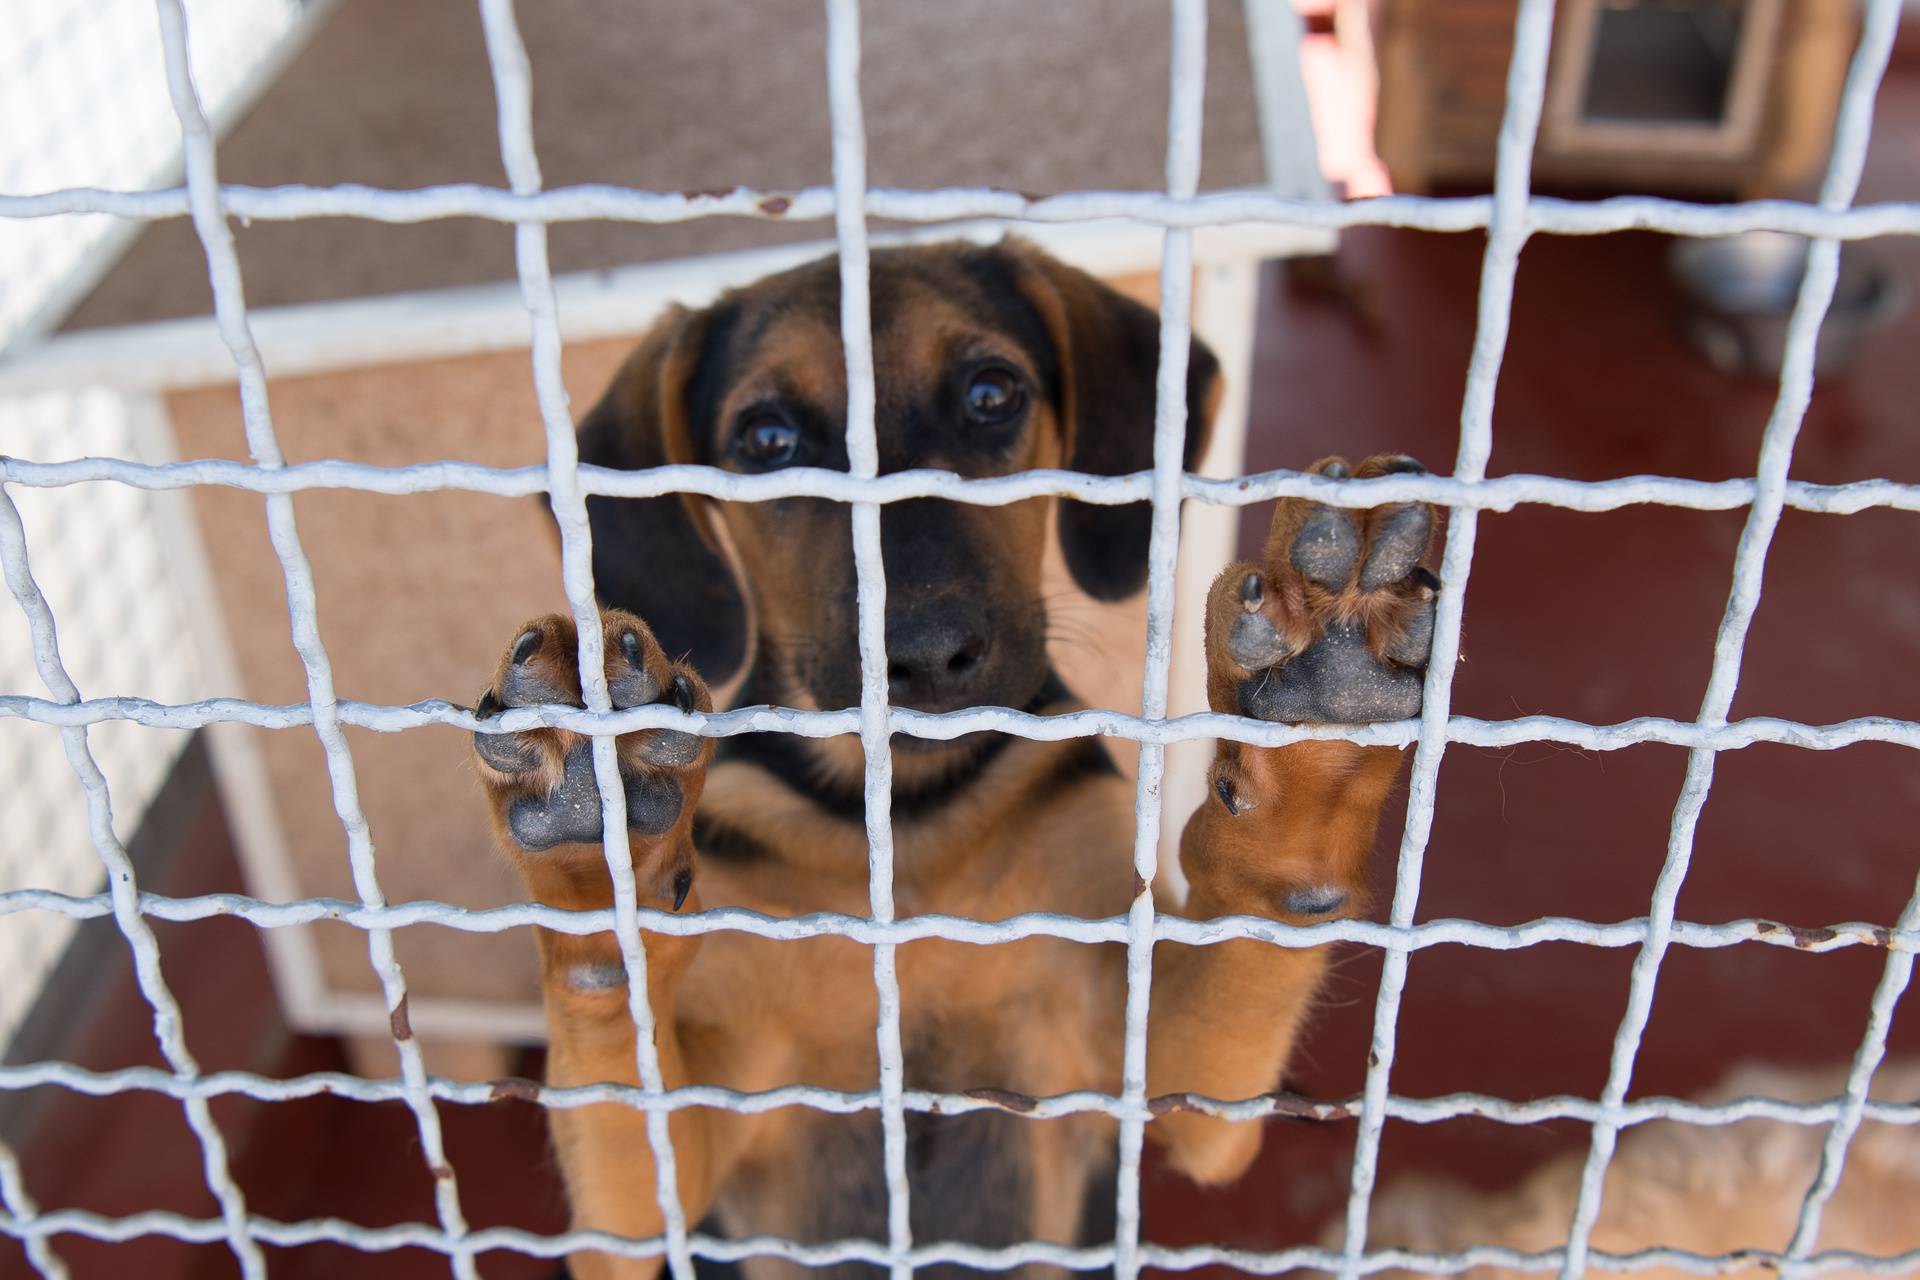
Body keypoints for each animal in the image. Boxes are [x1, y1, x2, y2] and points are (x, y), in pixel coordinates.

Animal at [464, 242, 1436, 1280]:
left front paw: (1318, 717)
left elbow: (1253, 943)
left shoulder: (1155, 1075)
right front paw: (590, 863)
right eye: (767, 438)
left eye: (991, 393)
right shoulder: (671, 1177)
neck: (908, 815)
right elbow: (613, 1061)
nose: (927, 655)